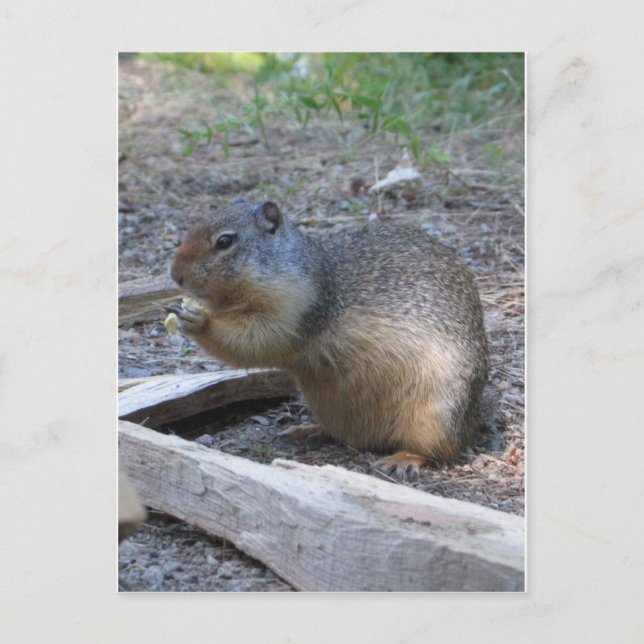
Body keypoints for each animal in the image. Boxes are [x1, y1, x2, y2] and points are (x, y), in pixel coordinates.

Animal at [168, 199, 488, 480]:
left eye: (224, 241)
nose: (175, 275)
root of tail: (474, 419)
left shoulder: (294, 309)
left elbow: (254, 340)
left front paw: (198, 321)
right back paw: (306, 431)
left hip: (436, 414)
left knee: (436, 448)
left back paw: (400, 460)